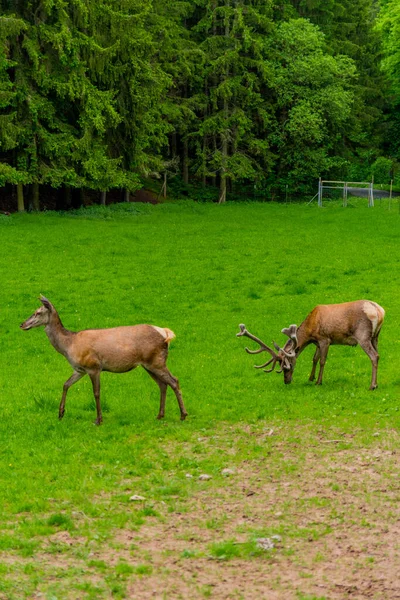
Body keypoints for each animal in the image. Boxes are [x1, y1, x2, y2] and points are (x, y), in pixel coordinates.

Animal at [19, 296, 187, 422]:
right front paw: (60, 413)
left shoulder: (93, 366)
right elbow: (65, 384)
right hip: (149, 364)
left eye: (37, 312)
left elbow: (96, 392)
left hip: (156, 361)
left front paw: (99, 419)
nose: (22, 324)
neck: (69, 345)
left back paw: (183, 415)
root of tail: (165, 333)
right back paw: (160, 415)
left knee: (174, 380)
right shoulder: (80, 369)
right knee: (162, 384)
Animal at [238, 298, 384, 390]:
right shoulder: (317, 342)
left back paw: (372, 385)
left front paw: (319, 382)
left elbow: (322, 361)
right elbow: (314, 359)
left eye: (287, 366)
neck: (310, 330)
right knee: (378, 355)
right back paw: (376, 383)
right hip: (375, 336)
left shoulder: (325, 339)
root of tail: (379, 311)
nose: (286, 381)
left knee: (374, 356)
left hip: (363, 335)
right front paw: (310, 378)